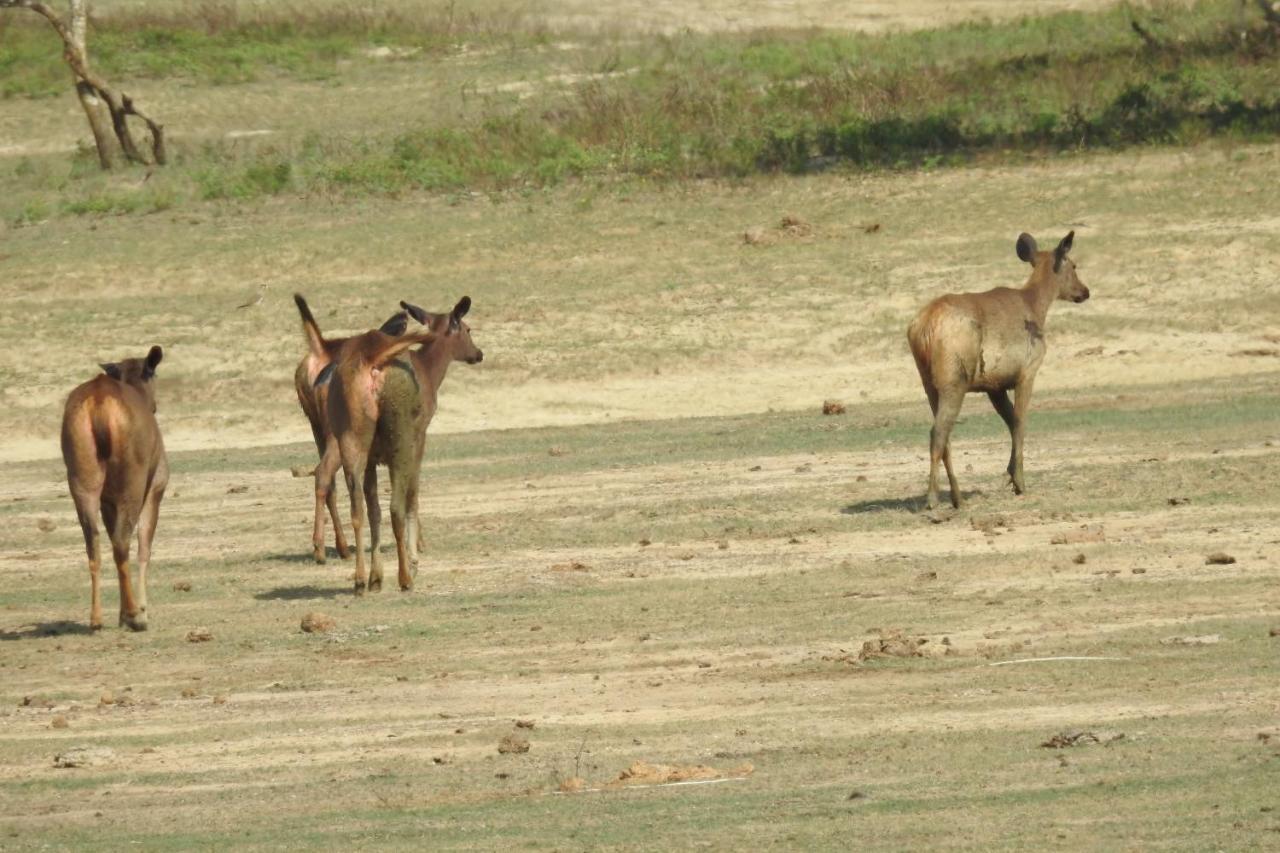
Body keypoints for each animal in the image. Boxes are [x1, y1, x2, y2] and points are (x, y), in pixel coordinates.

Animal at [60, 345, 167, 630]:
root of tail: (98, 404)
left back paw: (97, 618)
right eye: (154, 373)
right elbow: (144, 547)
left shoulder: (108, 500)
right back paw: (134, 615)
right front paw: (141, 610)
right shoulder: (156, 488)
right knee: (122, 542)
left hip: (82, 479)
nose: (156, 405)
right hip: (132, 481)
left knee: (94, 542)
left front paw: (121, 613)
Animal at [293, 292, 412, 558]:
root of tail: (321, 350)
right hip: (340, 439)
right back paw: (320, 548)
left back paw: (342, 547)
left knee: (328, 481)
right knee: (323, 475)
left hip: (320, 433)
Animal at [901, 229, 1090, 507]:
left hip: (928, 382)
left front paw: (1010, 475)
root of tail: (924, 328)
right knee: (938, 432)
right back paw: (933, 498)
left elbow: (1010, 422)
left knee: (945, 436)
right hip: (954, 379)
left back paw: (957, 497)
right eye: (1074, 265)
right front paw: (1019, 482)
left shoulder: (994, 386)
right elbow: (1020, 423)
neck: (1036, 306)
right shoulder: (1027, 371)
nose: (1085, 291)